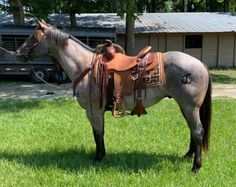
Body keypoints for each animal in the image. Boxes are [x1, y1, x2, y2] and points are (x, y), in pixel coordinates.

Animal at [15, 20, 211, 172]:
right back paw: (188, 156)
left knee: (197, 132)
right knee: (193, 131)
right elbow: (100, 133)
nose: (18, 53)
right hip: (186, 107)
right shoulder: (97, 111)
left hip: (190, 107)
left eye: (33, 36)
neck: (85, 67)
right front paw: (102, 155)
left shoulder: (93, 110)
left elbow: (97, 133)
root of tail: (200, 64)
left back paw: (196, 167)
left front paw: (98, 158)